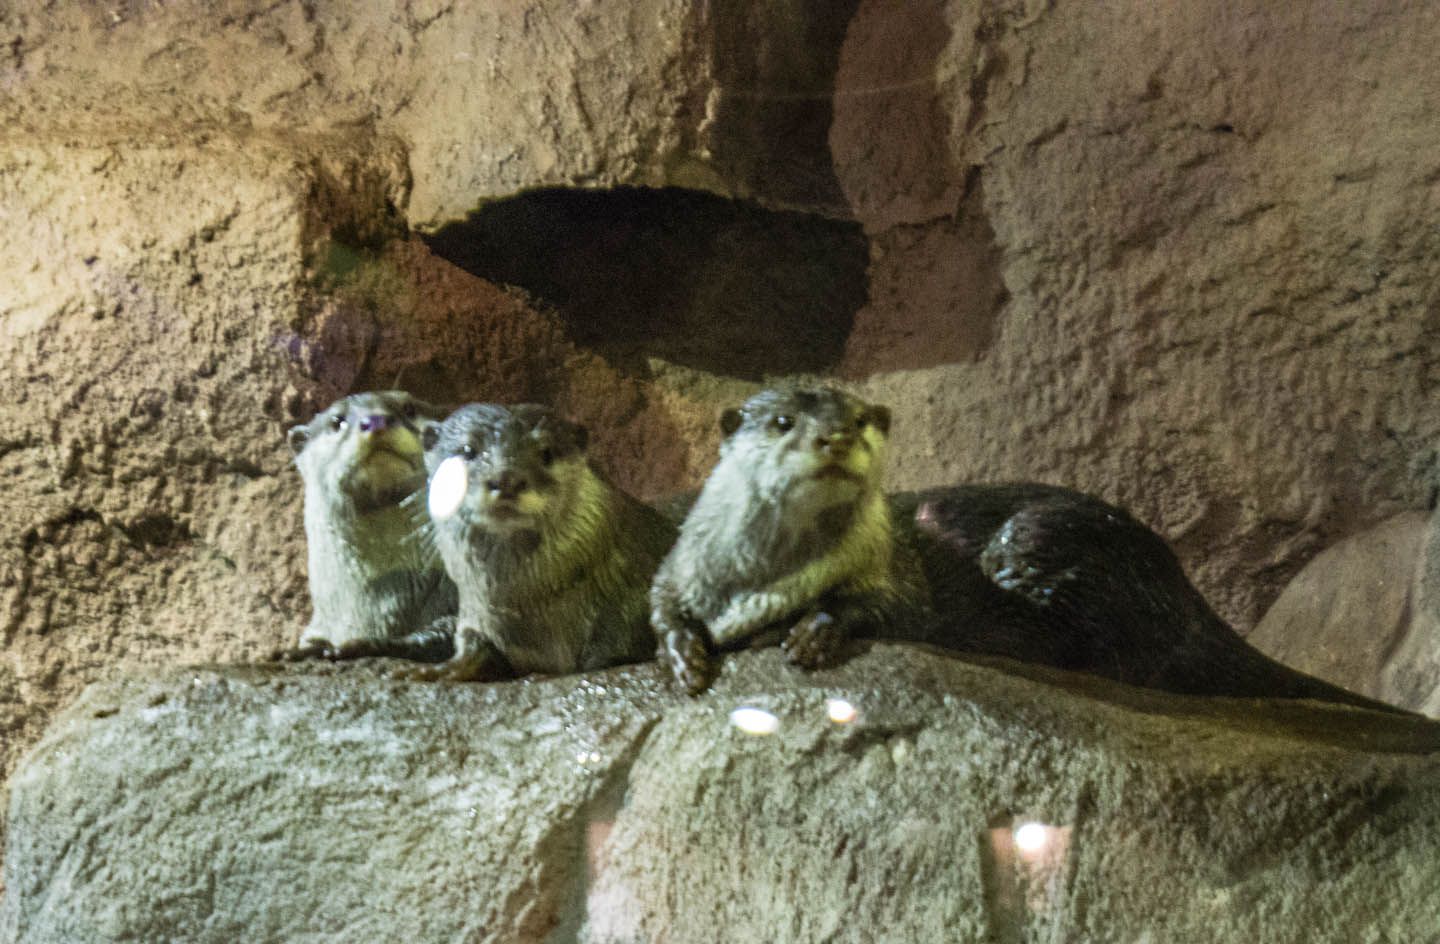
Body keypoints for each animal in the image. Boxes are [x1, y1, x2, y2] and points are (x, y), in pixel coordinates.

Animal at [398, 403, 676, 682]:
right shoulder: (475, 615)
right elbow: (472, 645)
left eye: (546, 452)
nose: (507, 479)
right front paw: (440, 669)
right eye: (467, 450)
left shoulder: (632, 591)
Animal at [655, 384, 1403, 713]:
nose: (834, 435)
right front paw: (684, 654)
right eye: (782, 420)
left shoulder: (892, 569)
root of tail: (1185, 588)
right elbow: (665, 607)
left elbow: (891, 606)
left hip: (1048, 540)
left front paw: (811, 630)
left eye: (861, 417)